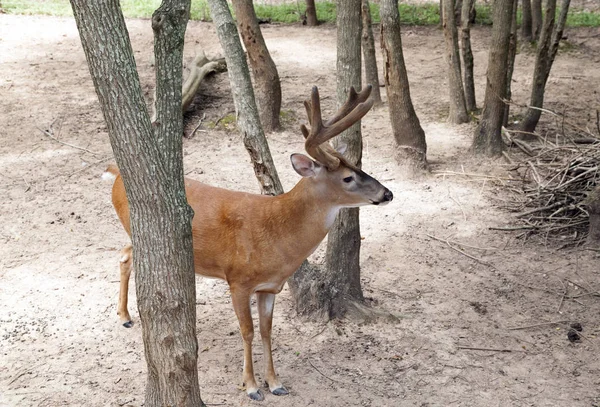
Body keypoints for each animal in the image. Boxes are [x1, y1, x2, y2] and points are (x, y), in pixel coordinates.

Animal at [103, 86, 394, 402]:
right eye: (348, 177)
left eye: (358, 165)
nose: (387, 193)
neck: (279, 236)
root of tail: (117, 175)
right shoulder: (238, 280)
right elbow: (248, 330)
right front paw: (252, 387)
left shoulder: (269, 286)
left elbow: (267, 330)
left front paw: (276, 382)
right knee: (126, 255)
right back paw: (124, 316)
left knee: (124, 254)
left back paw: (124, 315)